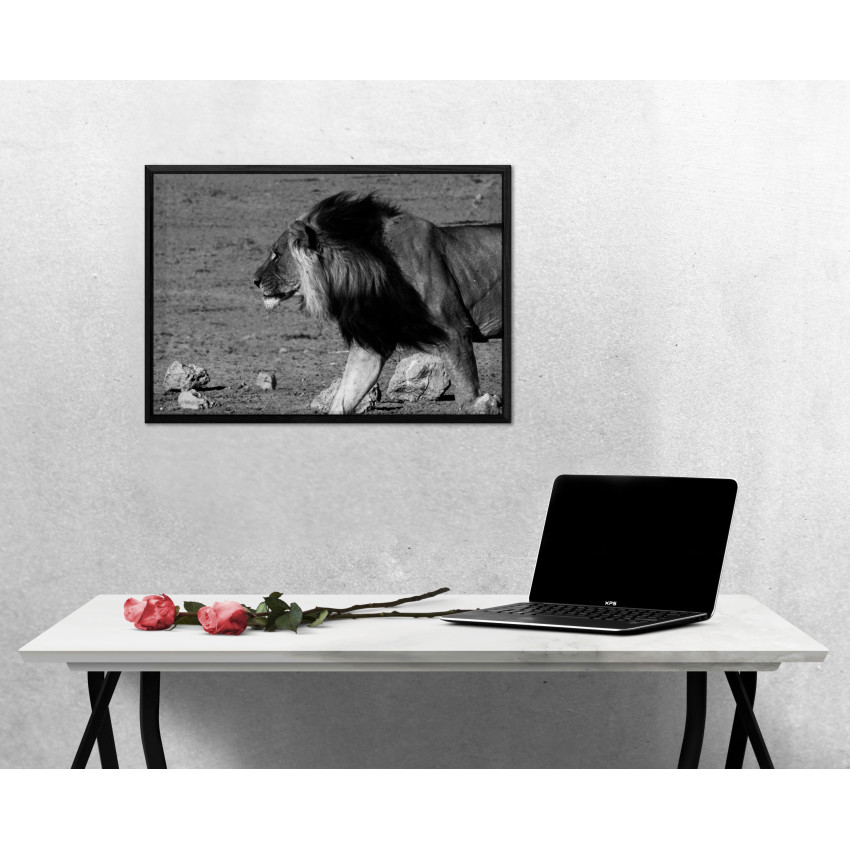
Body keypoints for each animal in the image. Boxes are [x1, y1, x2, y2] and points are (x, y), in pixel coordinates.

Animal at [252, 191, 503, 415]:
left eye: (276, 254)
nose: (254, 280)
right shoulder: (372, 340)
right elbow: (345, 394)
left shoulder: (453, 328)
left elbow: (464, 382)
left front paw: (480, 404)